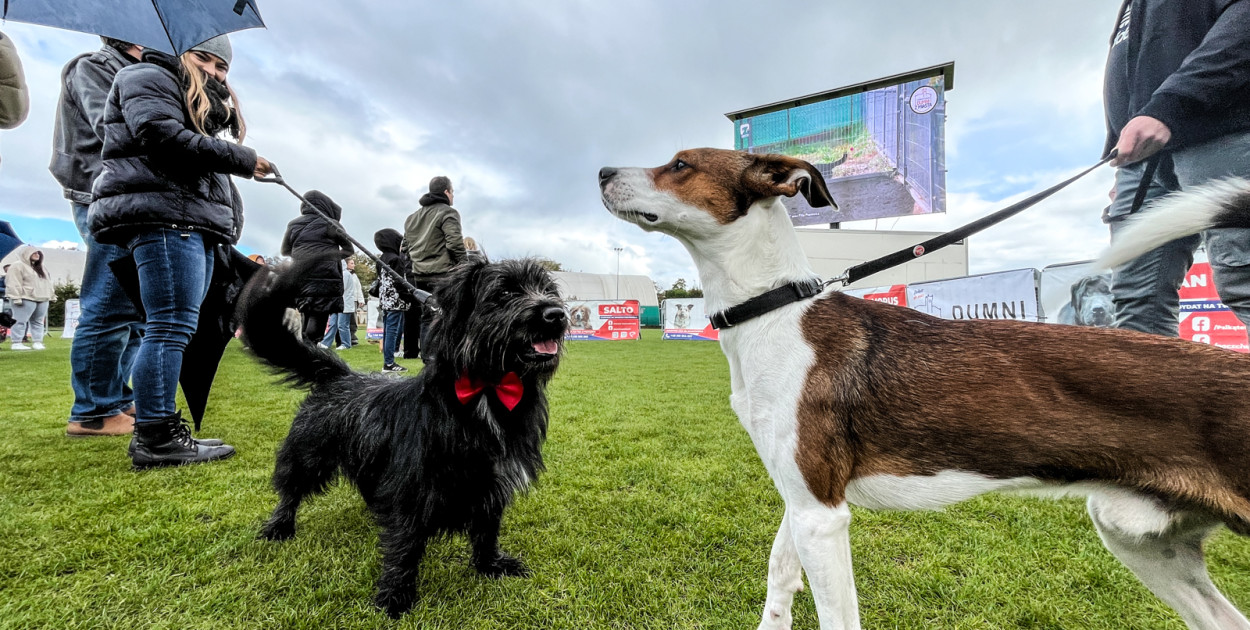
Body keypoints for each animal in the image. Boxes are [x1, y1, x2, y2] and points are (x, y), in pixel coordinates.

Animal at [236, 255, 570, 615]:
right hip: (308, 455)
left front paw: (489, 565)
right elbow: (405, 545)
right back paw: (279, 526)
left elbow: (486, 530)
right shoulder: (413, 487)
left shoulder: (493, 483)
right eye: (505, 293)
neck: (486, 392)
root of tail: (339, 374)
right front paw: (395, 595)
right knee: (291, 490)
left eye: (547, 290)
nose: (557, 314)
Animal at [595, 148, 1250, 630]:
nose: (601, 171)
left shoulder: (822, 516)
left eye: (680, 164)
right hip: (1139, 537)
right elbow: (779, 577)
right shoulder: (802, 498)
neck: (775, 310)